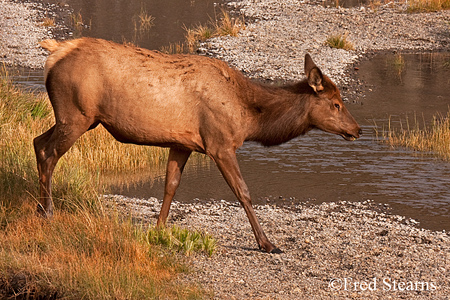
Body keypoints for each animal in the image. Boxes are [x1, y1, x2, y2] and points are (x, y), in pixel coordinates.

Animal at [35, 37, 360, 253]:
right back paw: (47, 211)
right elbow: (243, 192)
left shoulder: (183, 143)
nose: (357, 129)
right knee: (49, 152)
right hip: (76, 114)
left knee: (38, 142)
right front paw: (267, 243)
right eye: (336, 104)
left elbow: (170, 186)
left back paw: (39, 207)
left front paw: (159, 230)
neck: (249, 118)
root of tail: (55, 52)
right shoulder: (219, 143)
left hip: (80, 118)